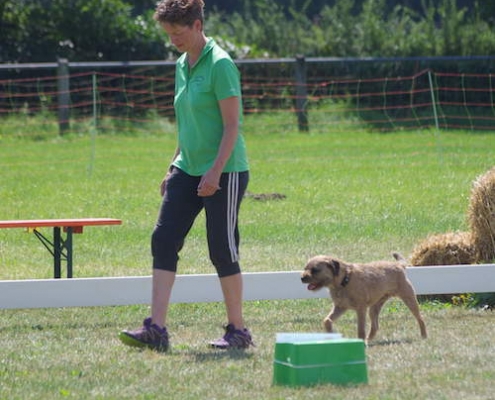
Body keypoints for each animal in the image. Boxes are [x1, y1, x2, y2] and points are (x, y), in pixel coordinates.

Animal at [300, 253, 428, 340]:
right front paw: (331, 332)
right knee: (375, 326)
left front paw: (360, 341)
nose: (302, 278)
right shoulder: (340, 307)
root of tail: (398, 265)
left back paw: (424, 335)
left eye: (315, 270)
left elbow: (361, 329)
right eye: (305, 268)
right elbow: (327, 320)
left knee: (420, 318)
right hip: (374, 308)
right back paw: (369, 340)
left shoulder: (361, 309)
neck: (344, 281)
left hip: (409, 299)